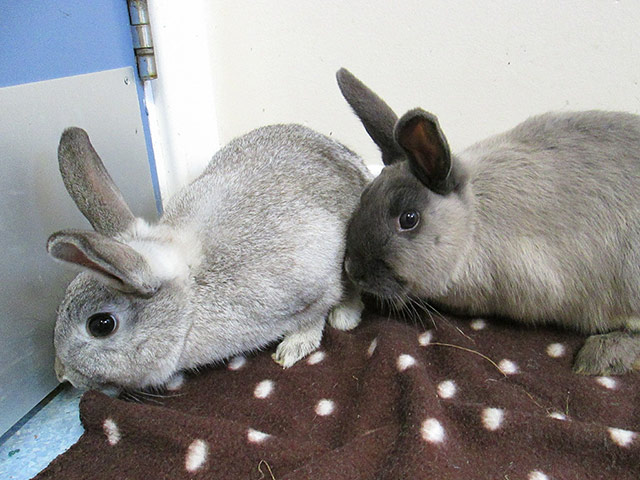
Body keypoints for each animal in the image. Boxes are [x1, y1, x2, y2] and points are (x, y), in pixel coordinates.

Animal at [47, 124, 372, 390]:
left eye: (100, 325)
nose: (61, 375)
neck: (191, 296)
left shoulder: (313, 282)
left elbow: (313, 316)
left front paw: (291, 350)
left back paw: (344, 318)